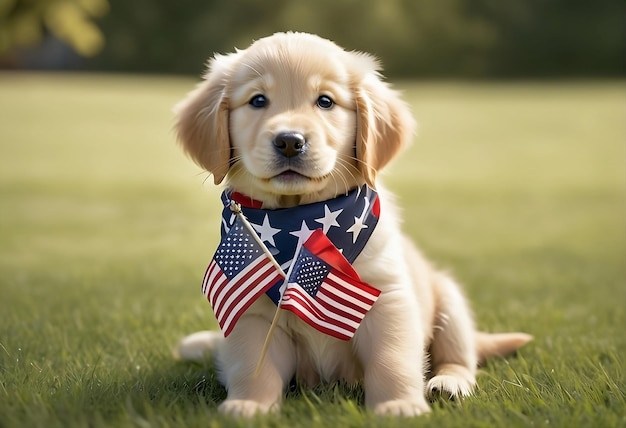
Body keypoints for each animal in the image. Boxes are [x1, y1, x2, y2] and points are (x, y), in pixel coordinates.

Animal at [172, 30, 532, 418]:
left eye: (325, 101)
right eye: (257, 100)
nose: (289, 141)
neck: (301, 221)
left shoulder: (388, 299)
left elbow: (391, 361)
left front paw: (398, 404)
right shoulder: (253, 315)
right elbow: (255, 365)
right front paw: (249, 405)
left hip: (450, 302)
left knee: (460, 359)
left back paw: (448, 383)